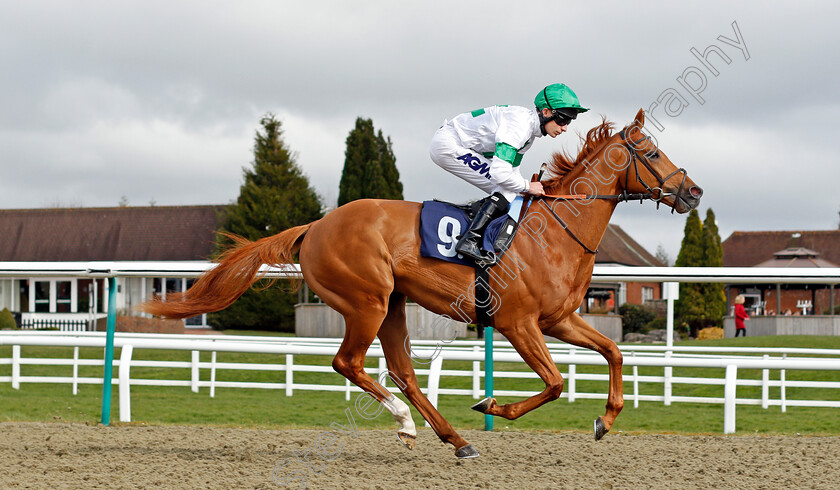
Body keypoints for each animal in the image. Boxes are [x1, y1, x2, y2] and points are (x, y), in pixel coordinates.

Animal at [139, 110, 704, 460]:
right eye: (651, 152)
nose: (693, 192)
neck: (554, 231)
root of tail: (315, 226)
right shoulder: (518, 323)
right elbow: (555, 383)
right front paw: (491, 406)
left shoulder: (559, 319)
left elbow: (614, 352)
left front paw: (606, 420)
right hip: (366, 301)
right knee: (348, 363)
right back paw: (409, 423)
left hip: (392, 304)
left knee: (402, 371)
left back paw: (452, 438)